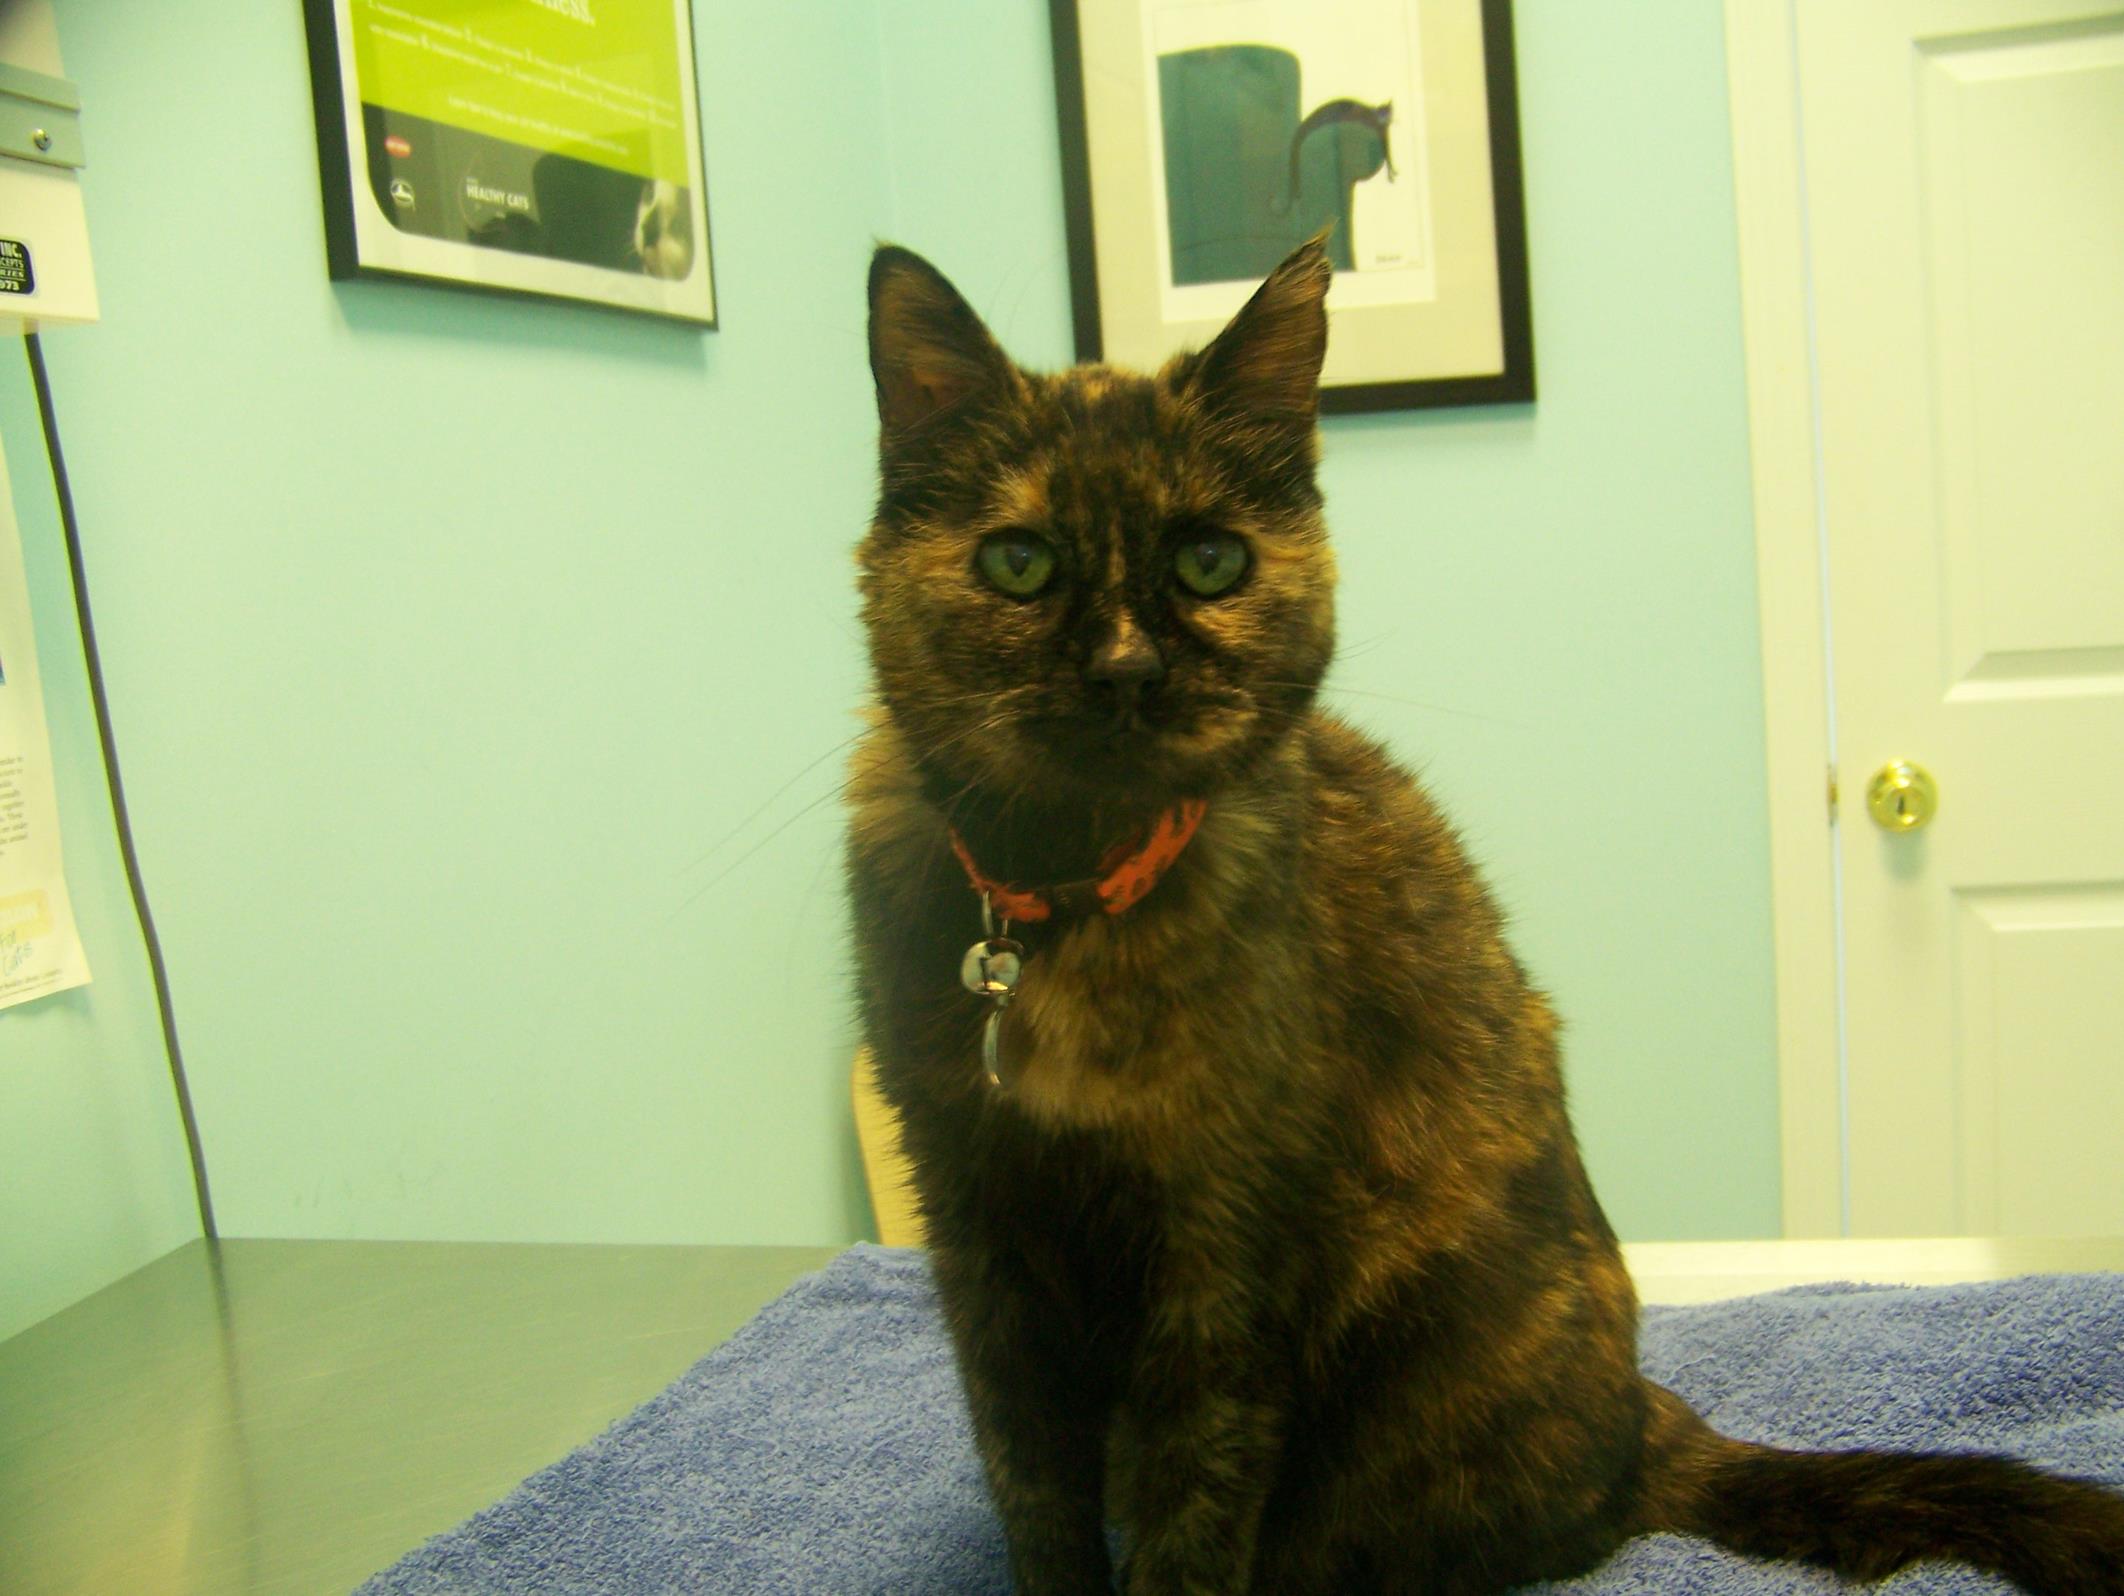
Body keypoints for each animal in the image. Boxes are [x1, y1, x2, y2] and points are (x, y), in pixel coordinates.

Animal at [845, 240, 2124, 1596]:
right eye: (1019, 562)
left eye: (1210, 563)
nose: (1128, 671)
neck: (1069, 903)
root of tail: (1644, 1418)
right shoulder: (974, 1224)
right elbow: (1030, 1485)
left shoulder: (1226, 1247)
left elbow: (1194, 1509)